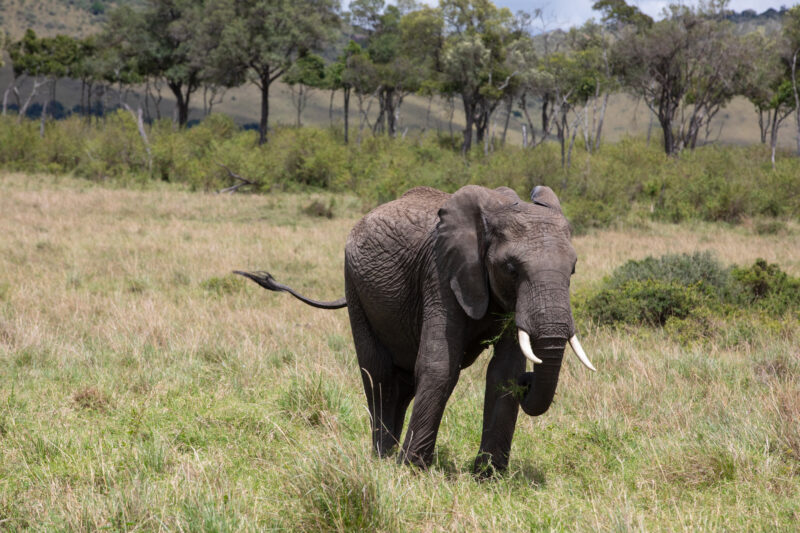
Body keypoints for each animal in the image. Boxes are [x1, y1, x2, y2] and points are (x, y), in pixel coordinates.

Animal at [236, 184, 595, 475]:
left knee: (404, 382)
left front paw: (489, 476)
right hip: (355, 286)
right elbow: (440, 366)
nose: (529, 381)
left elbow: (502, 372)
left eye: (573, 269)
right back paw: (383, 457)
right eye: (511, 268)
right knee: (378, 373)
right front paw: (412, 469)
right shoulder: (441, 273)